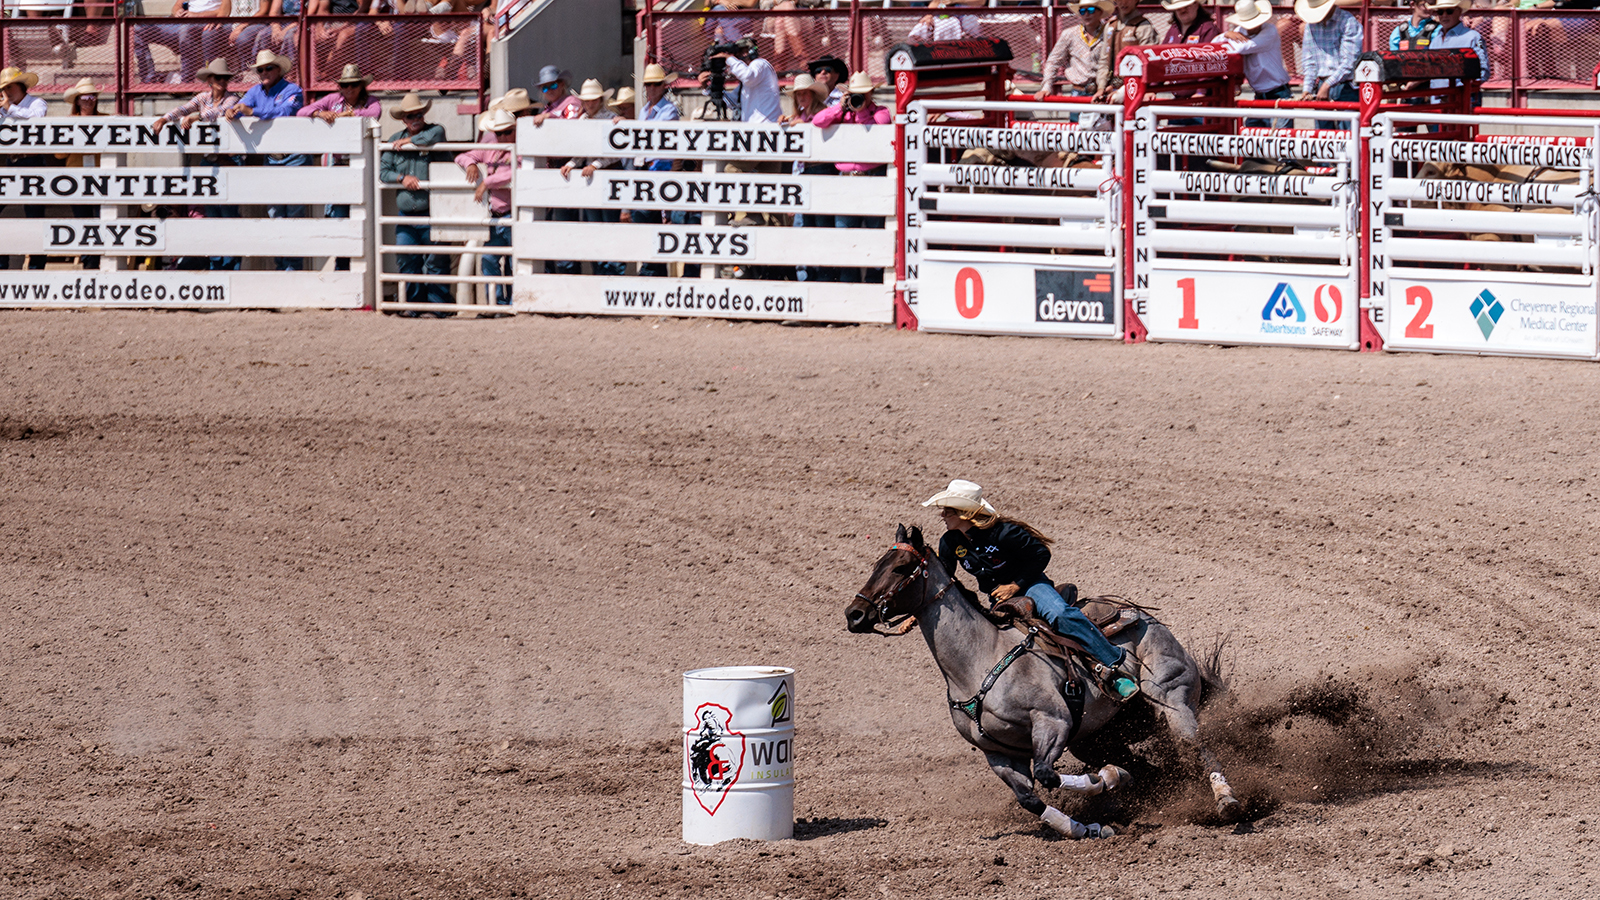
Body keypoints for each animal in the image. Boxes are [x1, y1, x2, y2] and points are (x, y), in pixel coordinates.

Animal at [844, 522, 1241, 839]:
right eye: (876, 565)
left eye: (901, 567)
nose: (854, 614)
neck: (977, 663)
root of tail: (1138, 614)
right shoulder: (997, 752)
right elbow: (1029, 798)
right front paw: (1086, 826)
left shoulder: (1054, 721)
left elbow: (1047, 774)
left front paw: (1107, 780)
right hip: (1098, 736)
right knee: (1152, 767)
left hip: (1171, 699)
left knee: (1195, 745)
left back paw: (1227, 801)